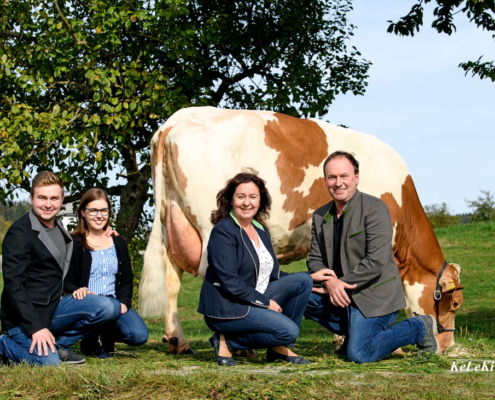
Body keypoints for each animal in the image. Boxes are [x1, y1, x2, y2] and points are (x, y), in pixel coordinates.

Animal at [140, 105, 464, 354]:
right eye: (455, 303)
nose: (447, 347)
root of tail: (175, 120)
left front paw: (342, 337)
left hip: (171, 223)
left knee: (171, 281)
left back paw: (178, 341)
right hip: (211, 226)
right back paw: (234, 347)